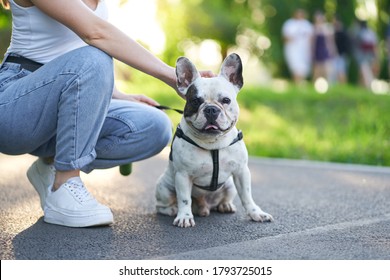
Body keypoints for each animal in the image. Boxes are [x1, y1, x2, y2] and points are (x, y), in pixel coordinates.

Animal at [154, 53, 272, 228]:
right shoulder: (182, 176)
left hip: (230, 186)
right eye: (196, 101)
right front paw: (184, 216)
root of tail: (203, 205)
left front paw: (256, 213)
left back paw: (225, 205)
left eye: (226, 100)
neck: (213, 142)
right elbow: (184, 199)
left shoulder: (241, 172)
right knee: (162, 205)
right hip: (164, 187)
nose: (211, 109)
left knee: (224, 198)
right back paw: (173, 210)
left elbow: (247, 196)